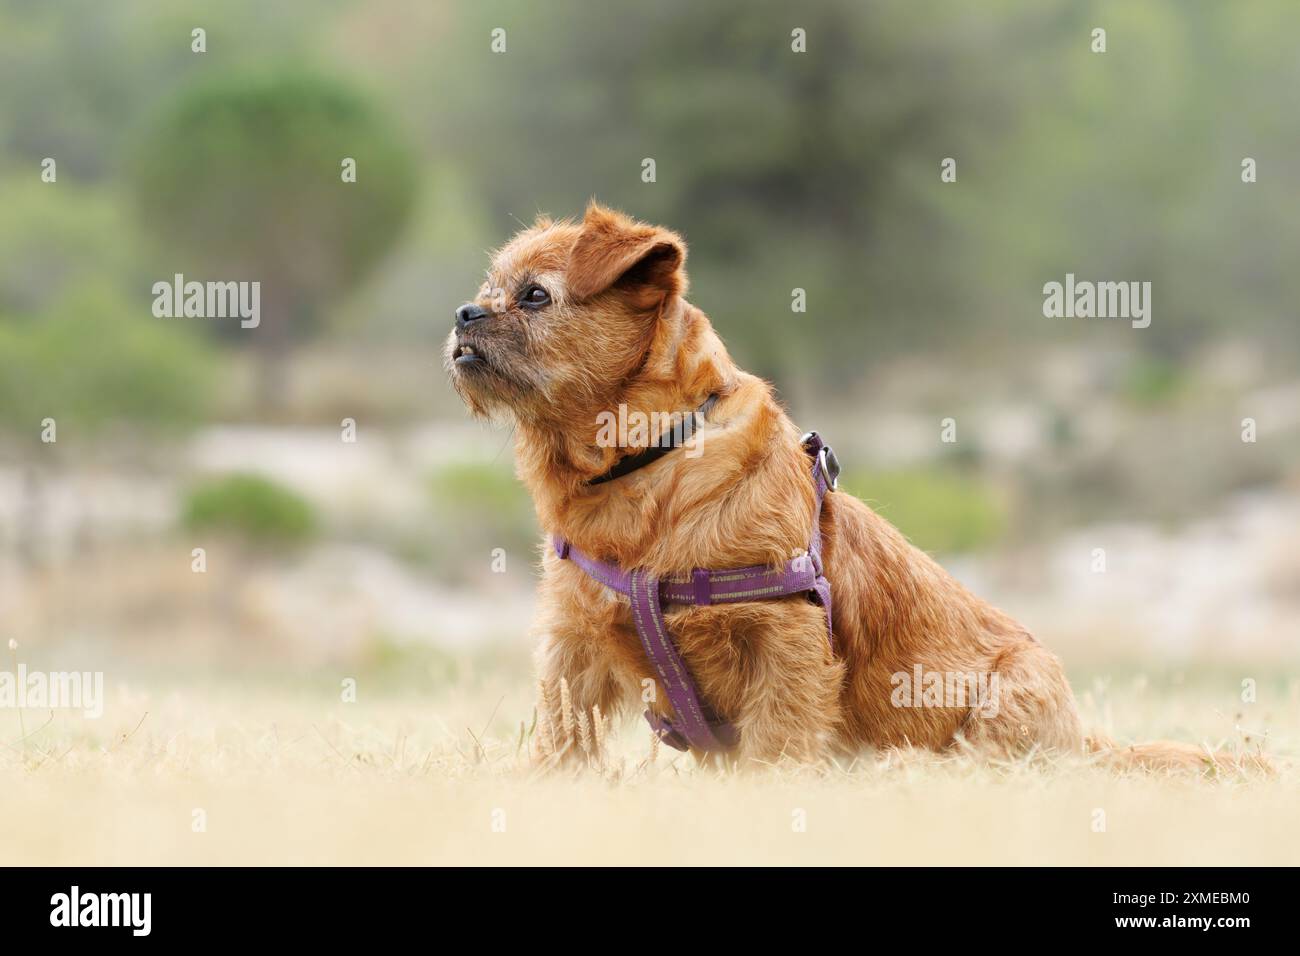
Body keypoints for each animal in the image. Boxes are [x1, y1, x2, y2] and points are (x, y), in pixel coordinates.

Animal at [449, 201, 1248, 770]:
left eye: (534, 296)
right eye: (487, 289)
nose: (462, 312)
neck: (646, 467)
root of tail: (1084, 739)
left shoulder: (783, 643)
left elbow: (777, 748)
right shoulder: (574, 655)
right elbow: (562, 746)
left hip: (1009, 697)